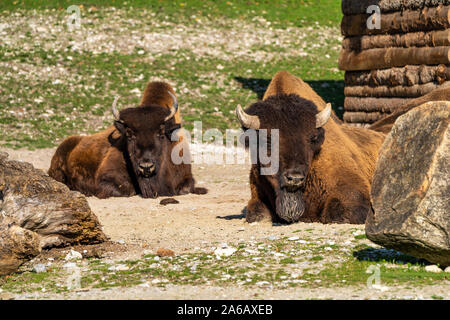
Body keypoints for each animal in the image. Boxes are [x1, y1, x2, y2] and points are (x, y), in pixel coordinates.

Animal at [48, 81, 207, 199]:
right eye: (129, 135)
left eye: (161, 134)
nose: (146, 167)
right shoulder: (105, 178)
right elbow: (128, 190)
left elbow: (186, 188)